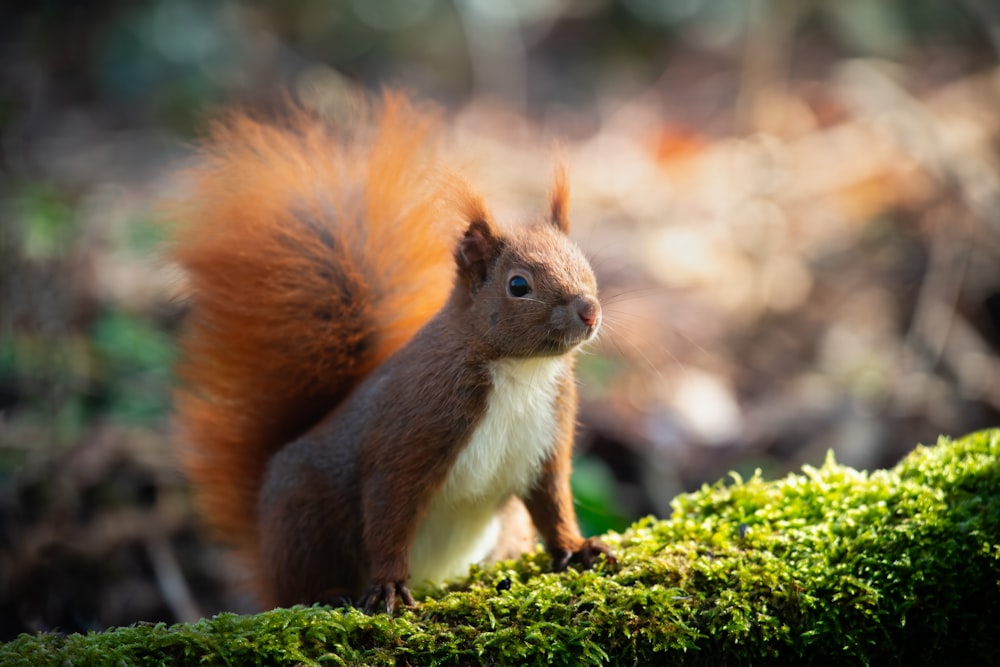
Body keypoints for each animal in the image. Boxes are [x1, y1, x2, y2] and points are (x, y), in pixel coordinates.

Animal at [168, 91, 612, 612]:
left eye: (584, 263)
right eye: (518, 285)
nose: (589, 311)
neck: (521, 371)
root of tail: (263, 551)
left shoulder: (547, 438)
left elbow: (553, 502)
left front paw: (578, 548)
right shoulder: (412, 432)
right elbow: (390, 510)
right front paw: (389, 586)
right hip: (304, 514)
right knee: (300, 584)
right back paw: (330, 592)